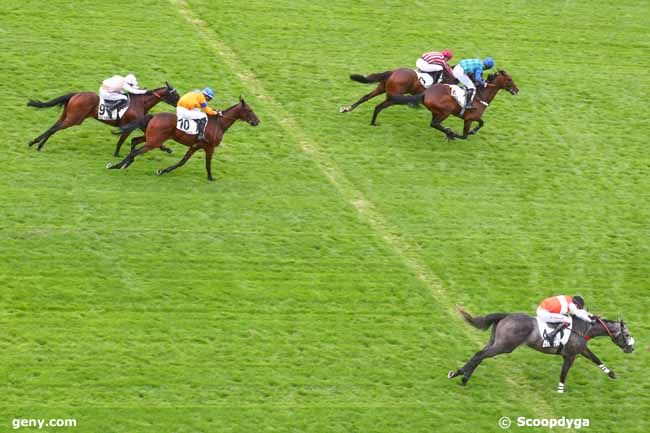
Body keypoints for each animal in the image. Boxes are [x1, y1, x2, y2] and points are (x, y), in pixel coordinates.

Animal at [26, 82, 178, 154]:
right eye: (175, 95)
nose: (179, 103)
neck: (140, 103)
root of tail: (75, 94)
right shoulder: (131, 125)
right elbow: (122, 140)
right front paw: (117, 154)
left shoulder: (140, 124)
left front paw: (166, 148)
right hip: (74, 119)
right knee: (55, 129)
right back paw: (36, 144)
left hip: (67, 116)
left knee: (53, 127)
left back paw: (37, 144)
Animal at [106, 97, 258, 180]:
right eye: (250, 110)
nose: (257, 121)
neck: (219, 124)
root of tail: (154, 115)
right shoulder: (209, 147)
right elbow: (208, 164)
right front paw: (210, 178)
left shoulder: (195, 146)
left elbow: (182, 161)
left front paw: (163, 171)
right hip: (154, 142)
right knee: (136, 150)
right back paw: (117, 165)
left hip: (151, 138)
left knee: (134, 142)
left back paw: (125, 163)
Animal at [384, 70, 516, 139]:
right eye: (509, 79)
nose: (517, 90)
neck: (481, 95)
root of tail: (426, 93)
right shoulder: (470, 118)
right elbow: (466, 134)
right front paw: (461, 133)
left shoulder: (473, 118)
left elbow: (481, 123)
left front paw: (469, 132)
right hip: (446, 111)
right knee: (435, 123)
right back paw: (450, 133)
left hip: (436, 111)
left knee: (434, 123)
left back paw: (448, 132)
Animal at [448, 308, 632, 392]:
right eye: (627, 334)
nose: (631, 348)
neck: (583, 328)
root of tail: (506, 315)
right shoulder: (570, 355)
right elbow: (564, 373)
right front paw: (560, 390)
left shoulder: (580, 350)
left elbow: (596, 359)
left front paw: (611, 374)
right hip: (504, 346)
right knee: (481, 355)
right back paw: (462, 377)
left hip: (494, 342)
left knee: (479, 354)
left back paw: (459, 374)